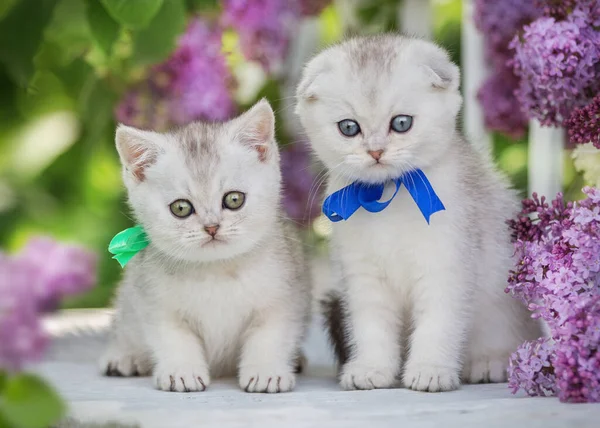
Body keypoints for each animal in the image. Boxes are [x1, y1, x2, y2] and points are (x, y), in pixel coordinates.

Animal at [99, 98, 310, 392]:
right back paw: (124, 357)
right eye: (181, 208)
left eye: (234, 199)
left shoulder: (284, 299)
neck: (216, 270)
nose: (211, 227)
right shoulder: (156, 304)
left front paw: (266, 371)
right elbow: (174, 339)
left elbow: (269, 338)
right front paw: (182, 371)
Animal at [296, 35, 544, 392]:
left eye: (401, 123)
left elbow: (437, 324)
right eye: (349, 128)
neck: (388, 195)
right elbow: (371, 326)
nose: (375, 151)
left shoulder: (446, 265)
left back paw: (489, 363)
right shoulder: (363, 277)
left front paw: (430, 370)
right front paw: (372, 368)